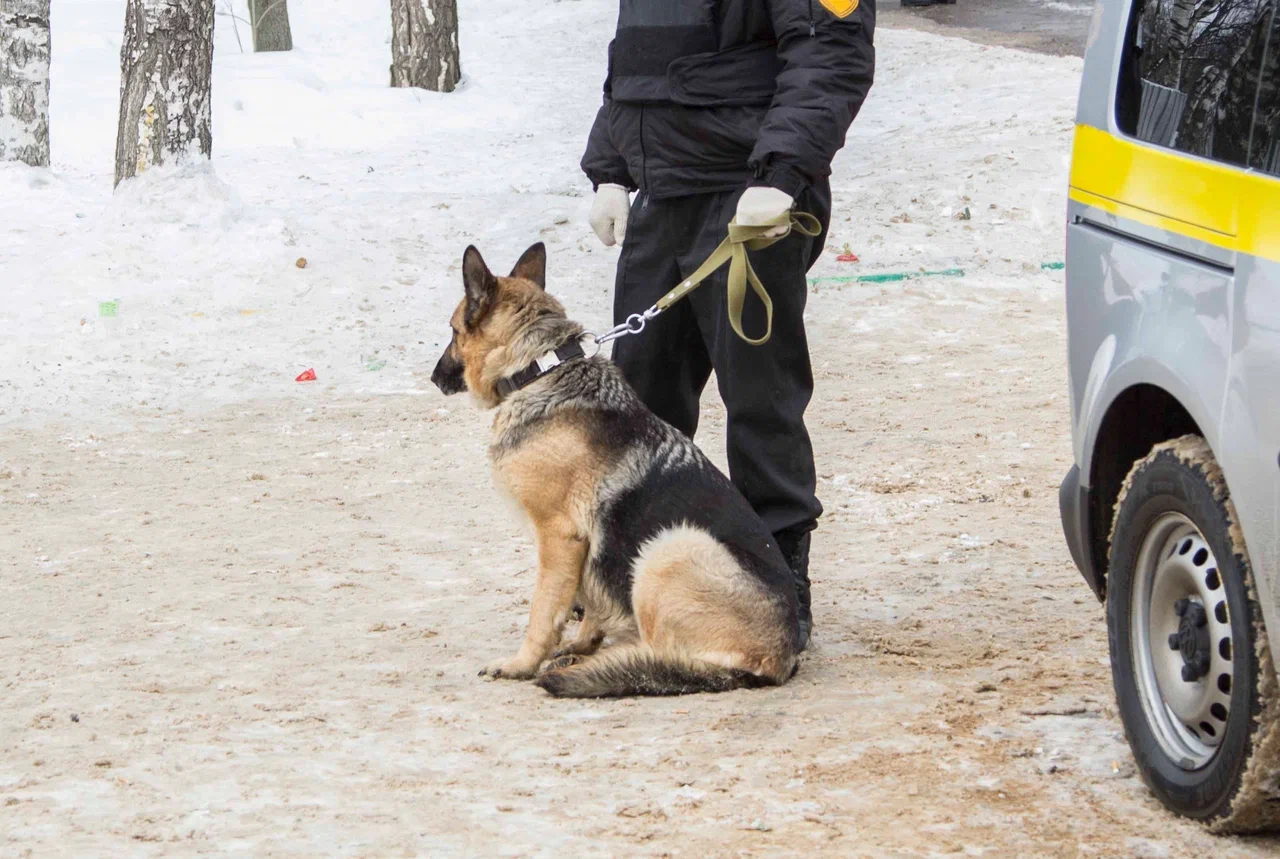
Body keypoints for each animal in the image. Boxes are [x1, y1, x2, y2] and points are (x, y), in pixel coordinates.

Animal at [430, 241, 798, 696]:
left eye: (453, 332)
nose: (434, 378)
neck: (539, 368)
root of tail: (781, 658)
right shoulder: (584, 547)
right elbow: (588, 599)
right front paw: (583, 641)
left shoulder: (559, 537)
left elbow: (542, 611)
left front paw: (522, 664)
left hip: (670, 547)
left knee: (663, 657)